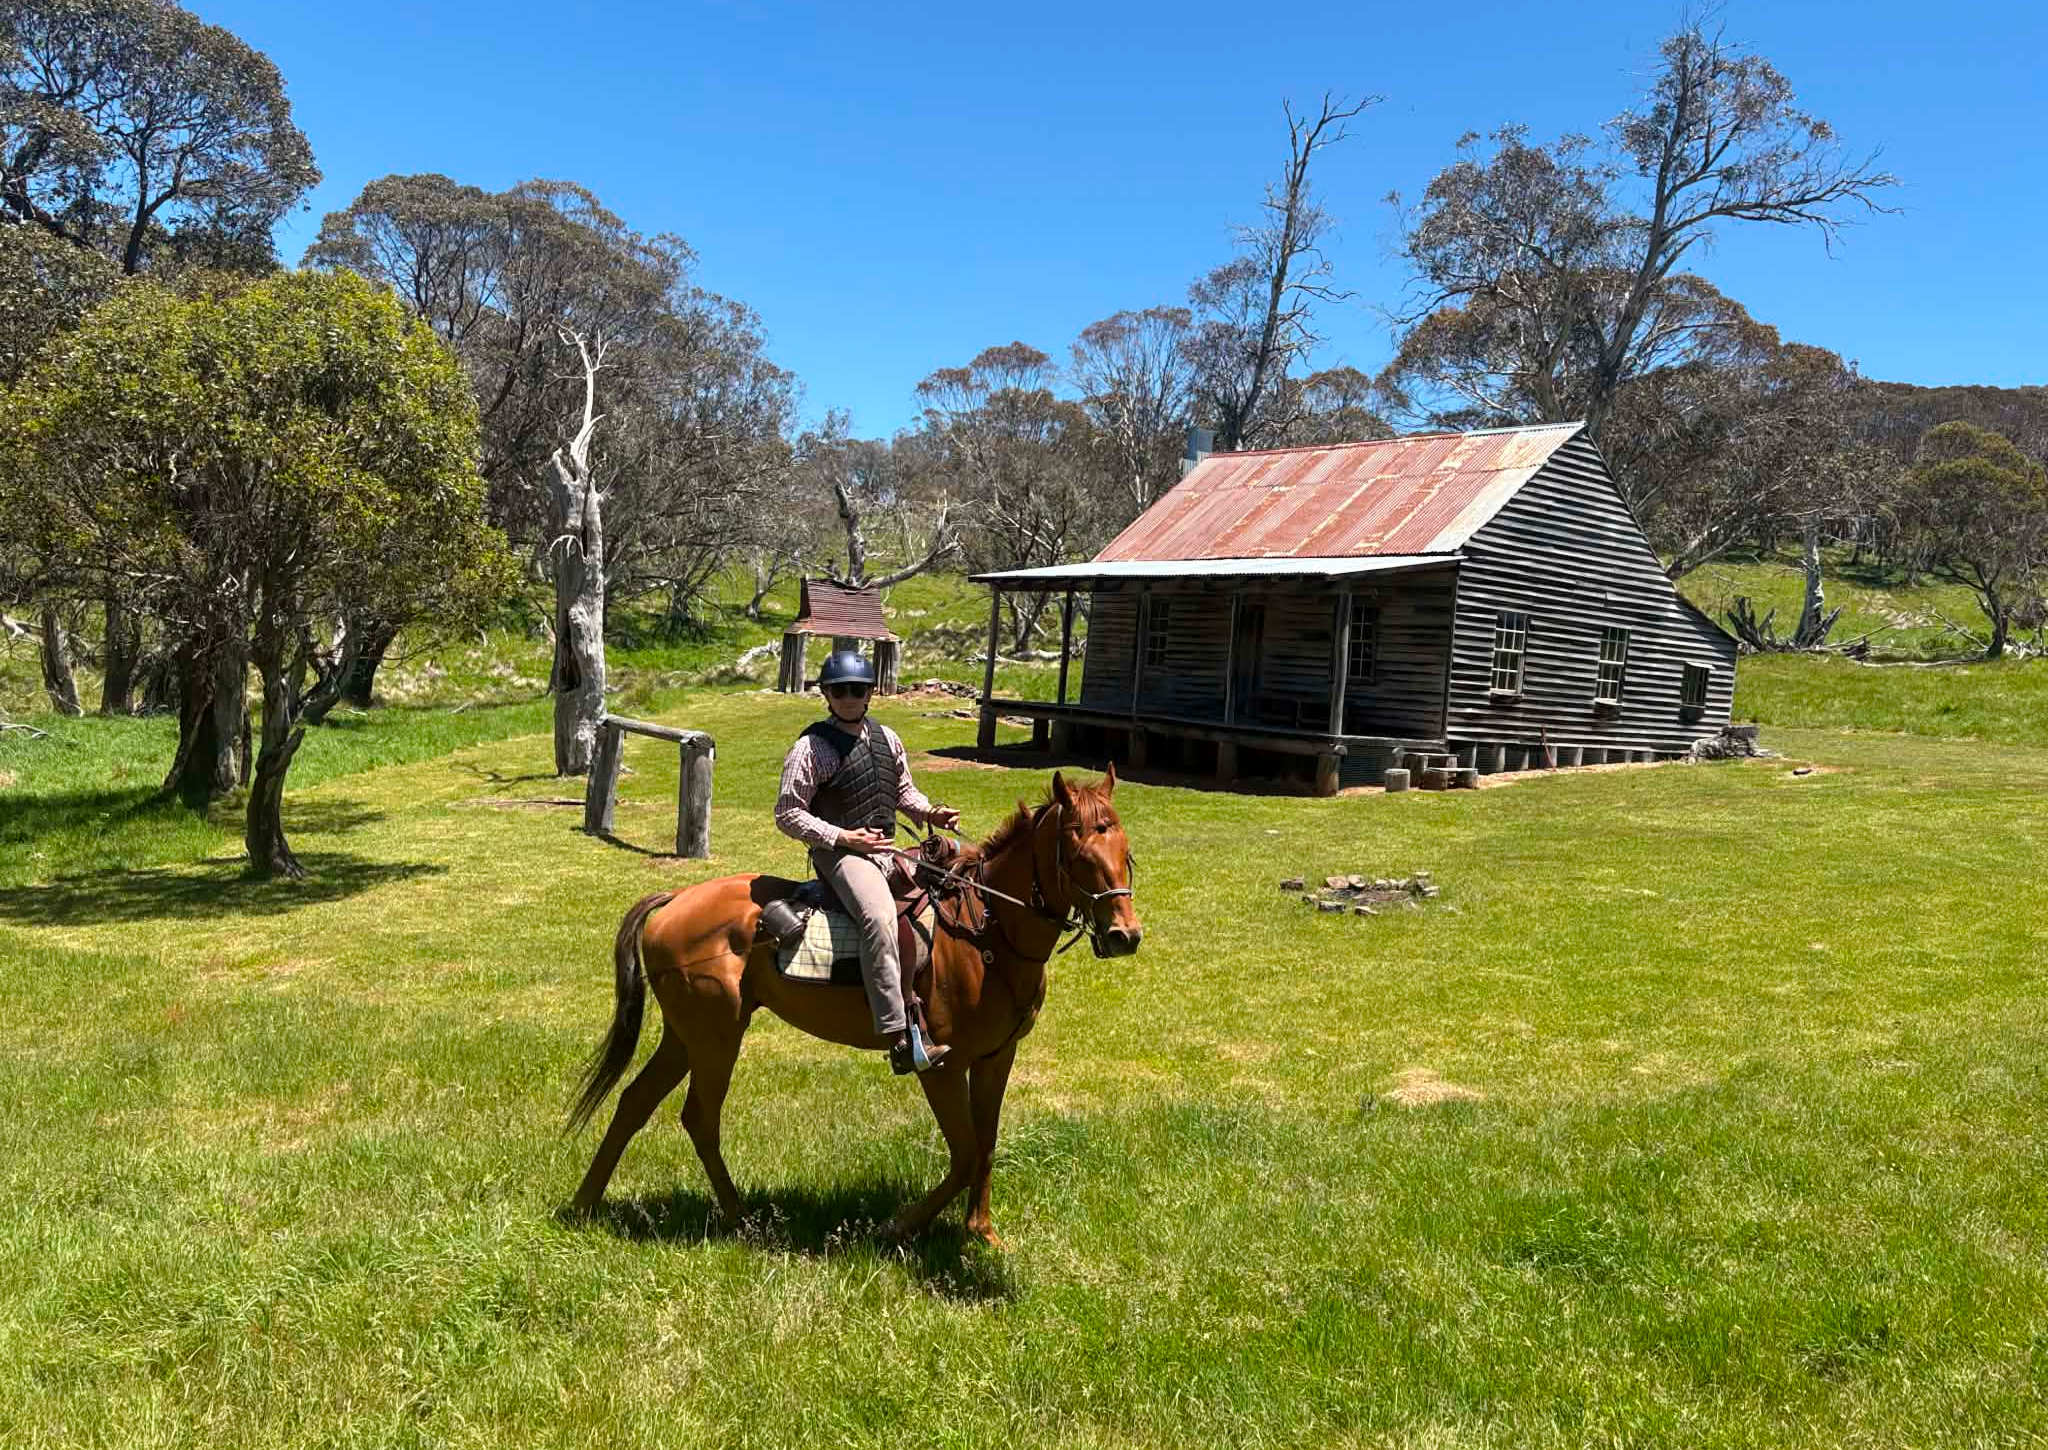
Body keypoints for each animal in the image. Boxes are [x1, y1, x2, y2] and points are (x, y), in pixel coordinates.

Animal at [565, 765, 1142, 1247]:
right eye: (1081, 854)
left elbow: (986, 1143)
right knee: (700, 1118)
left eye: (1126, 852)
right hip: (716, 1038)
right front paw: (897, 1227)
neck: (985, 930)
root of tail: (674, 900)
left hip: (687, 1035)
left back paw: (585, 1204)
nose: (1125, 936)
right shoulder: (942, 1066)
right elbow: (964, 1154)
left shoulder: (996, 1057)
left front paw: (980, 1233)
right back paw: (739, 1219)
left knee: (634, 1102)